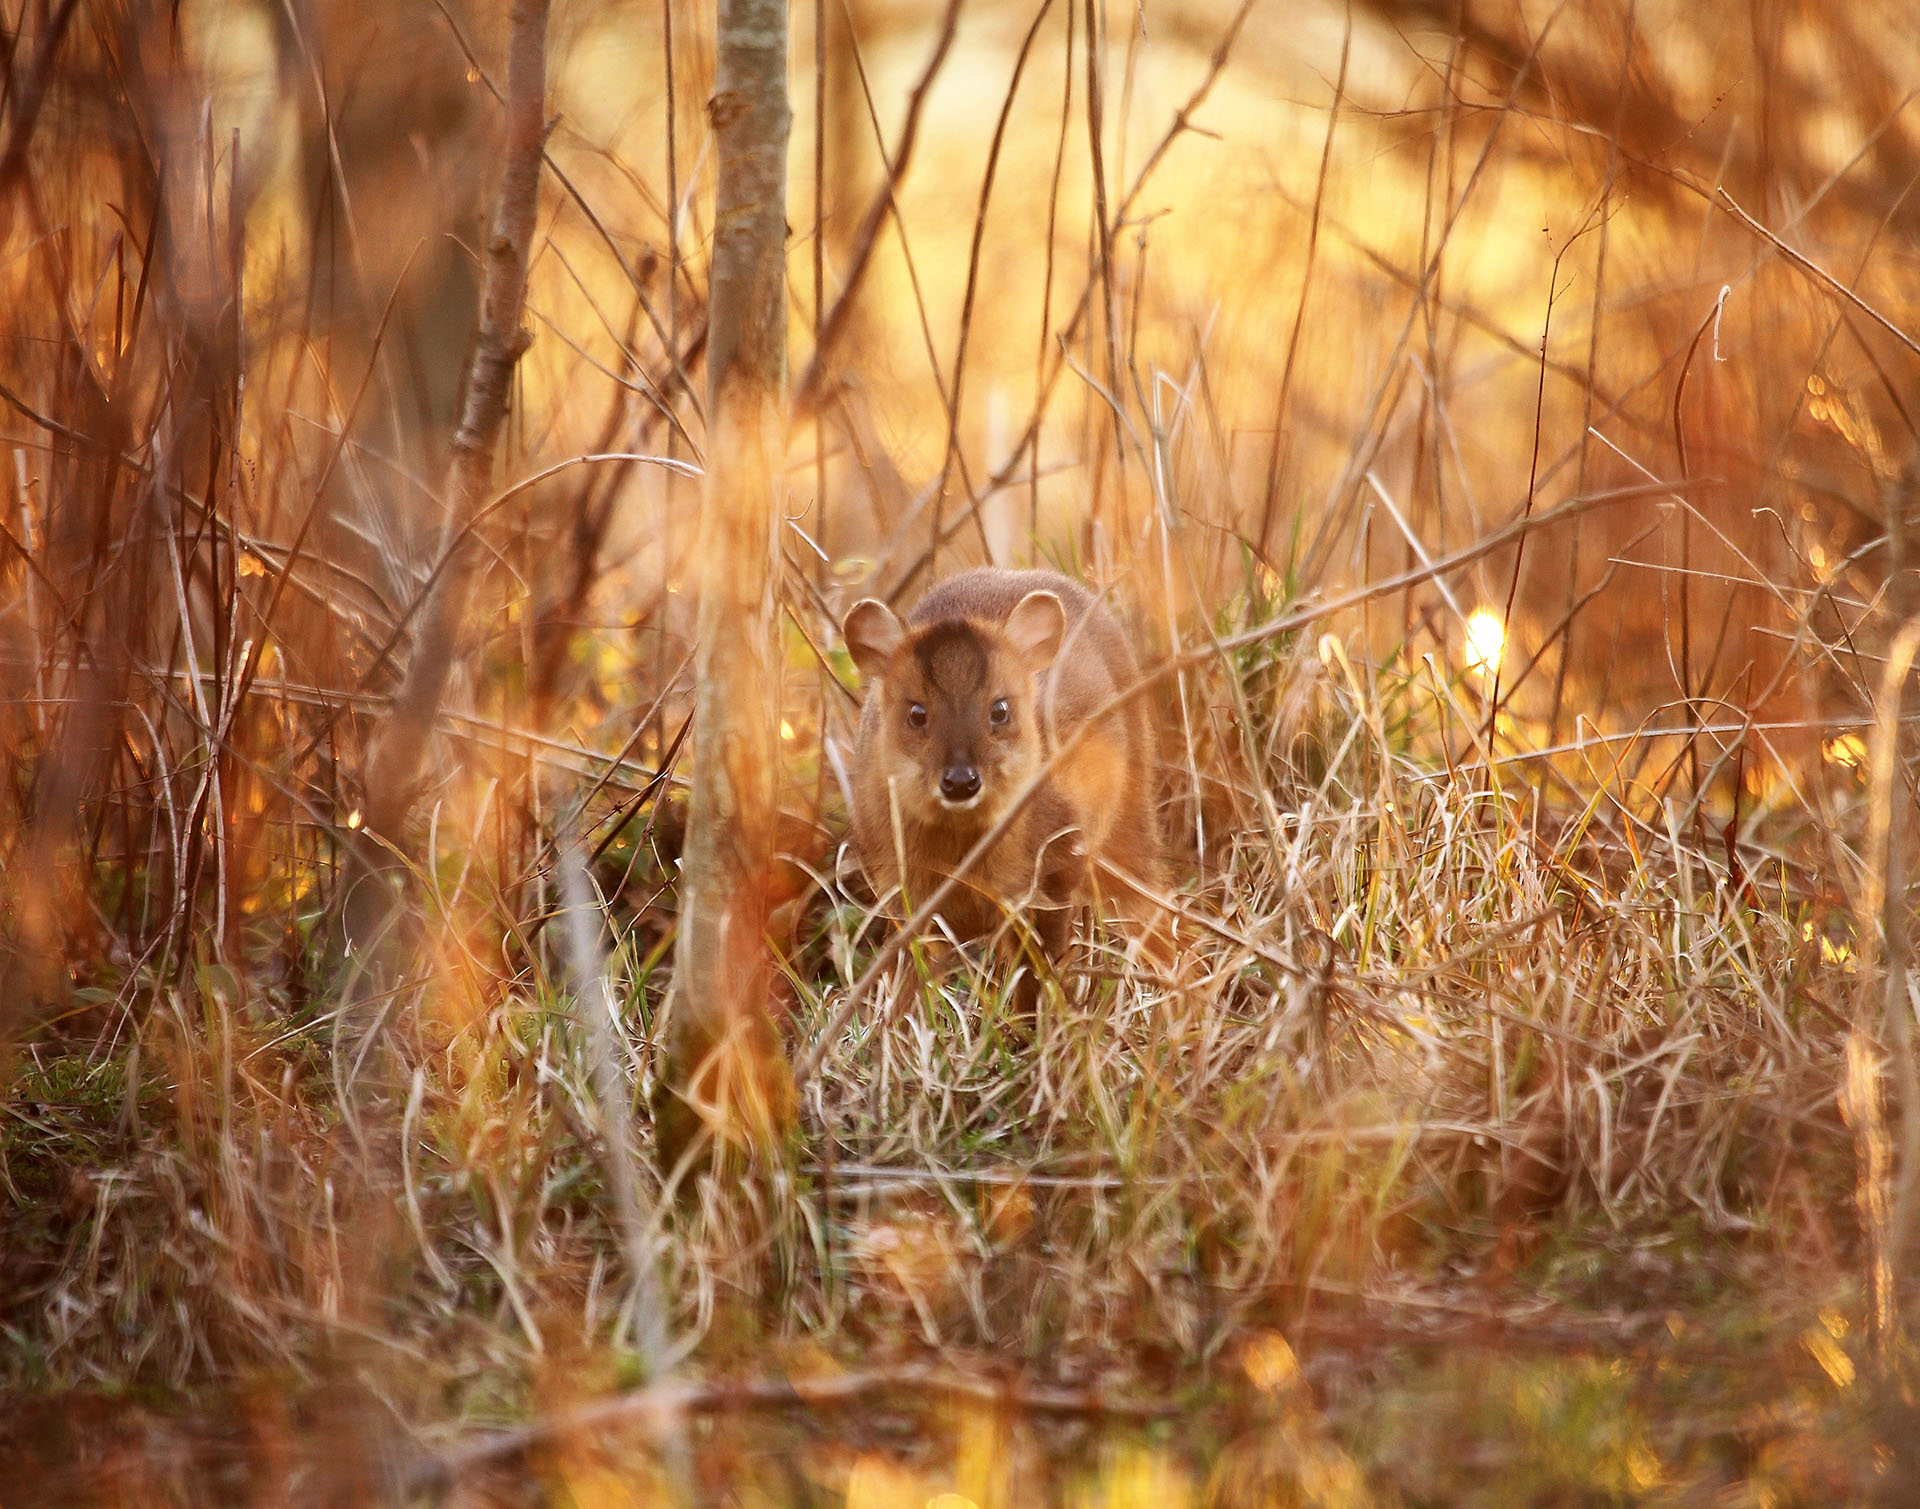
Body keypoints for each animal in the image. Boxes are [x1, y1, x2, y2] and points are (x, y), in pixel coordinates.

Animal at [844, 564, 1167, 975]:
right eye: (916, 712)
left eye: (1000, 709)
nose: (961, 782)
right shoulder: (904, 894)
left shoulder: (1051, 877)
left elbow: (1038, 974)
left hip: (1131, 812)